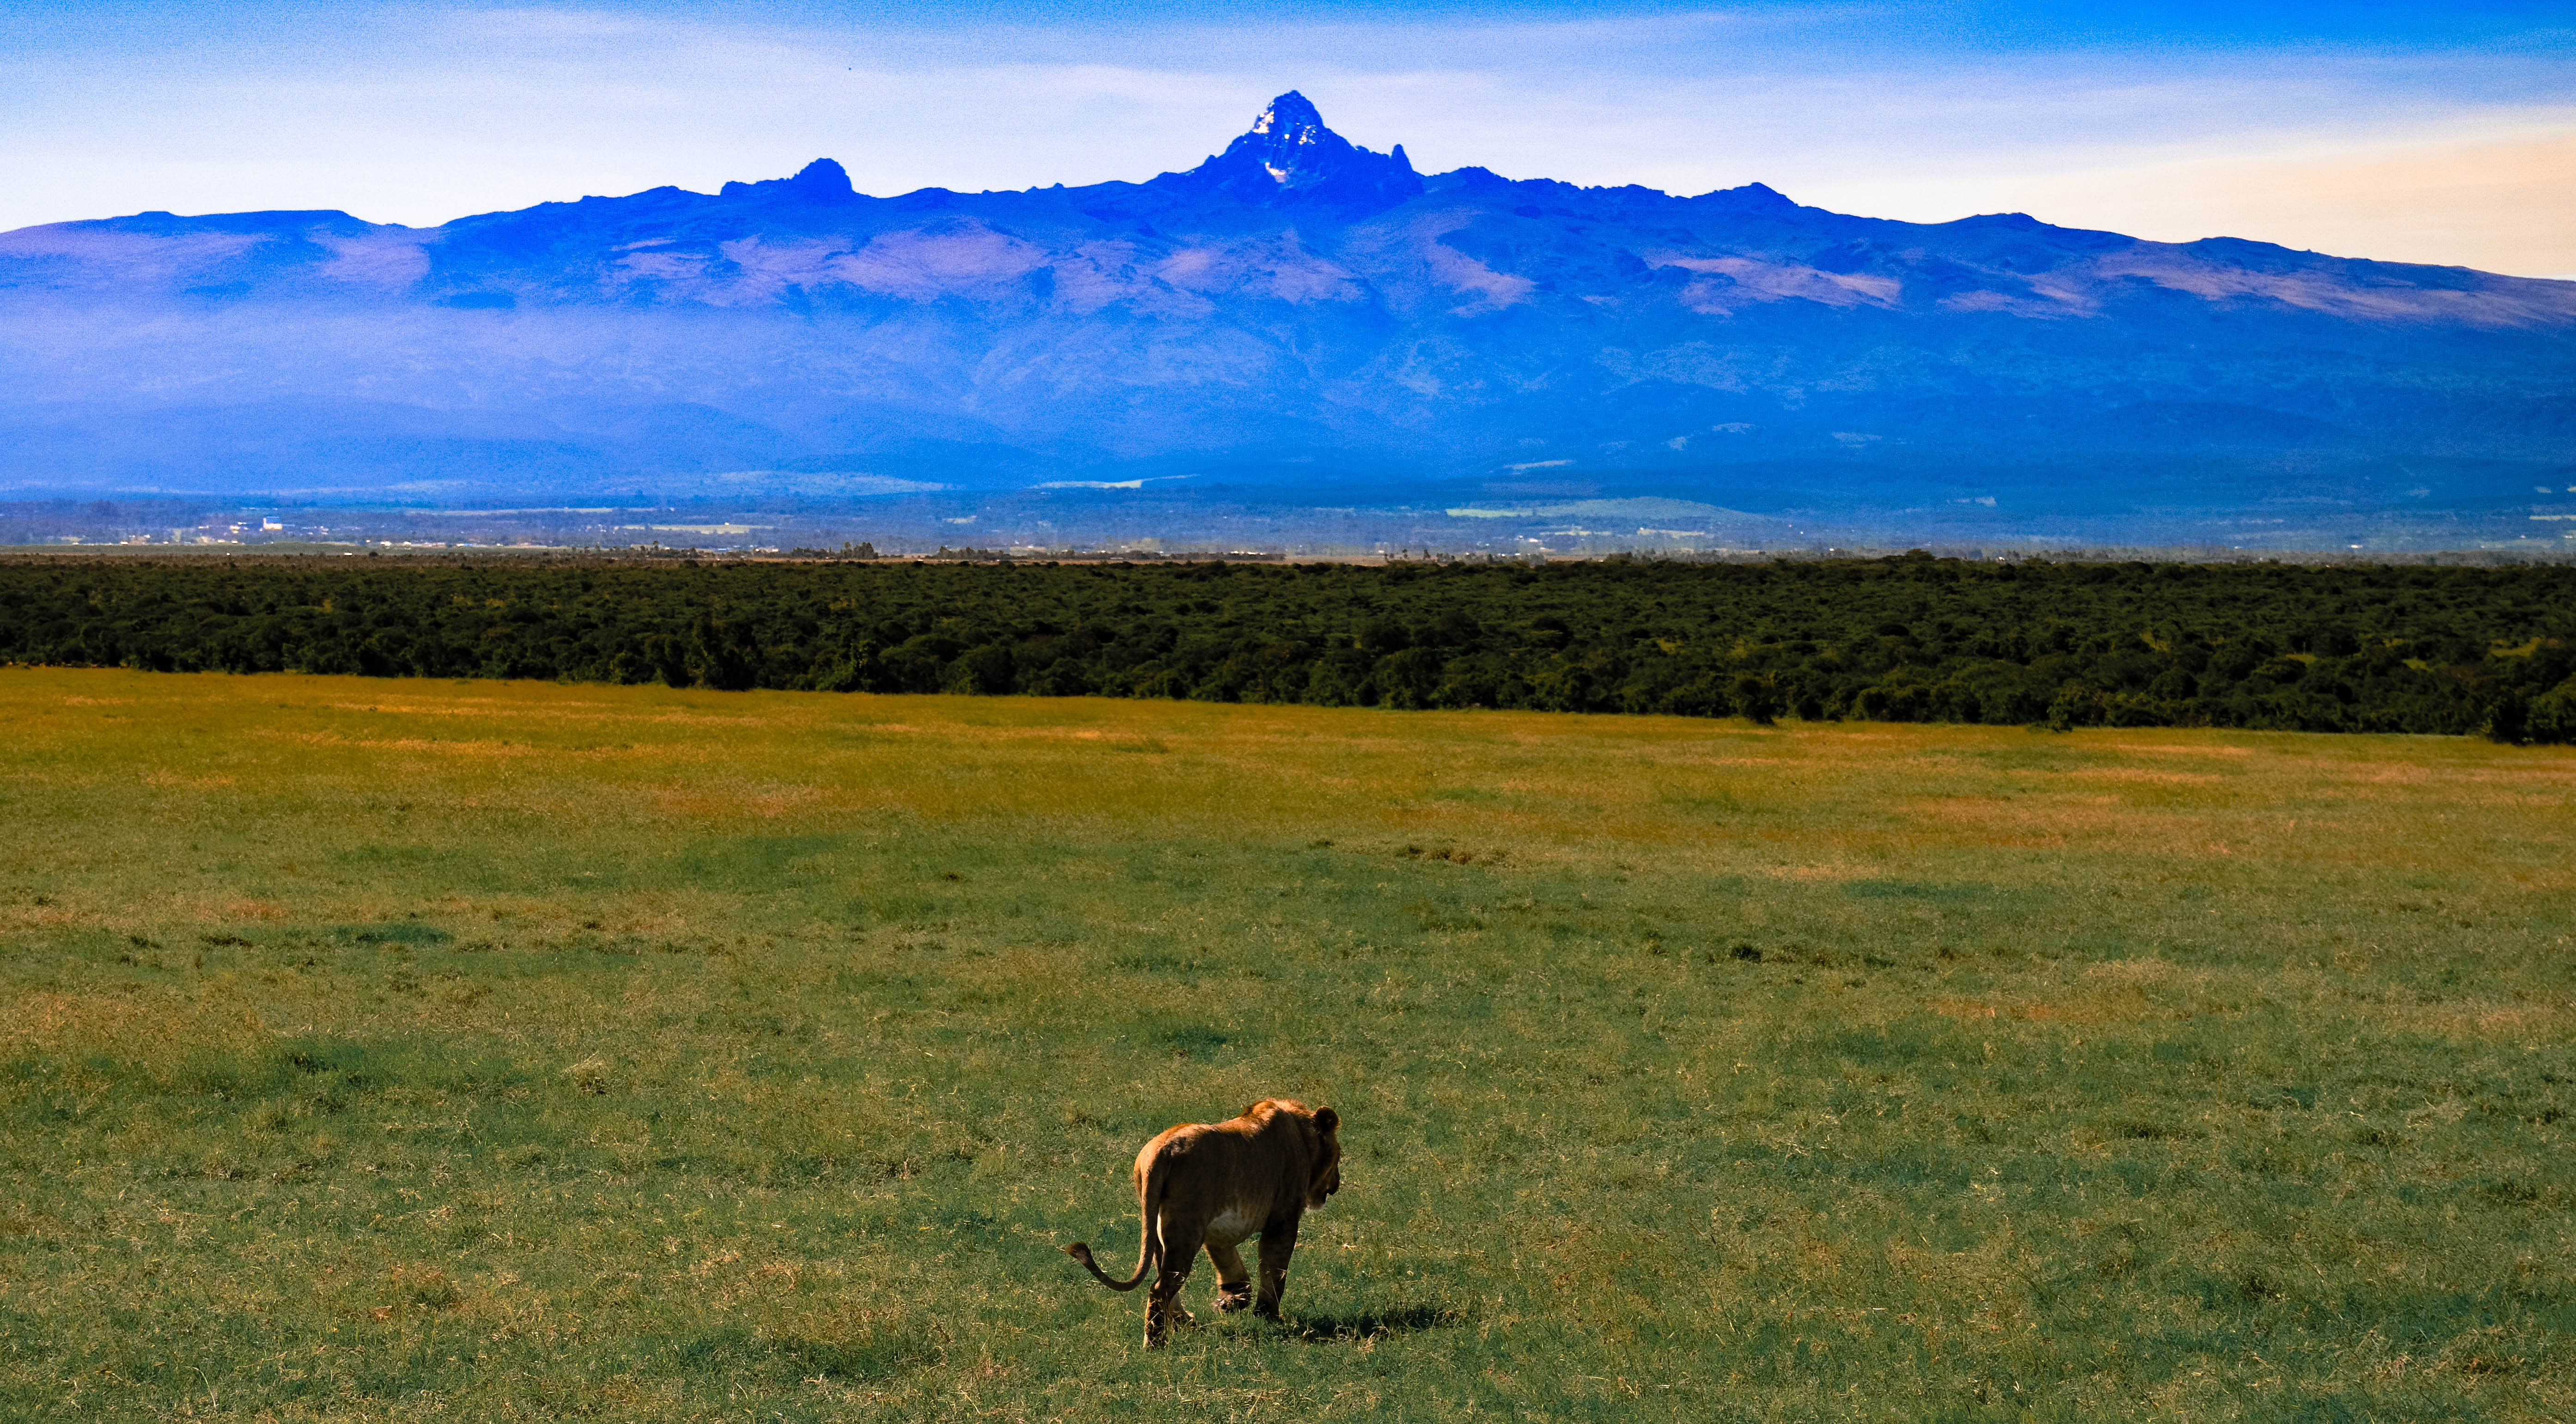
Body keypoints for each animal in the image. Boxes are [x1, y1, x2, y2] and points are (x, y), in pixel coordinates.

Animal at [1064, 1098, 1342, 1346]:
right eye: (1339, 1156)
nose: (1337, 1184)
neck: (1302, 1133)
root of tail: (1159, 1152)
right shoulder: (1283, 1219)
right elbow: (1275, 1270)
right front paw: (1268, 1316)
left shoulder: (1217, 1231)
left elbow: (1232, 1267)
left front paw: (1230, 1302)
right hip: (1186, 1229)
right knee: (1161, 1287)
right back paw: (1155, 1344)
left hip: (1159, 1230)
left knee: (1164, 1280)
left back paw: (1185, 1322)